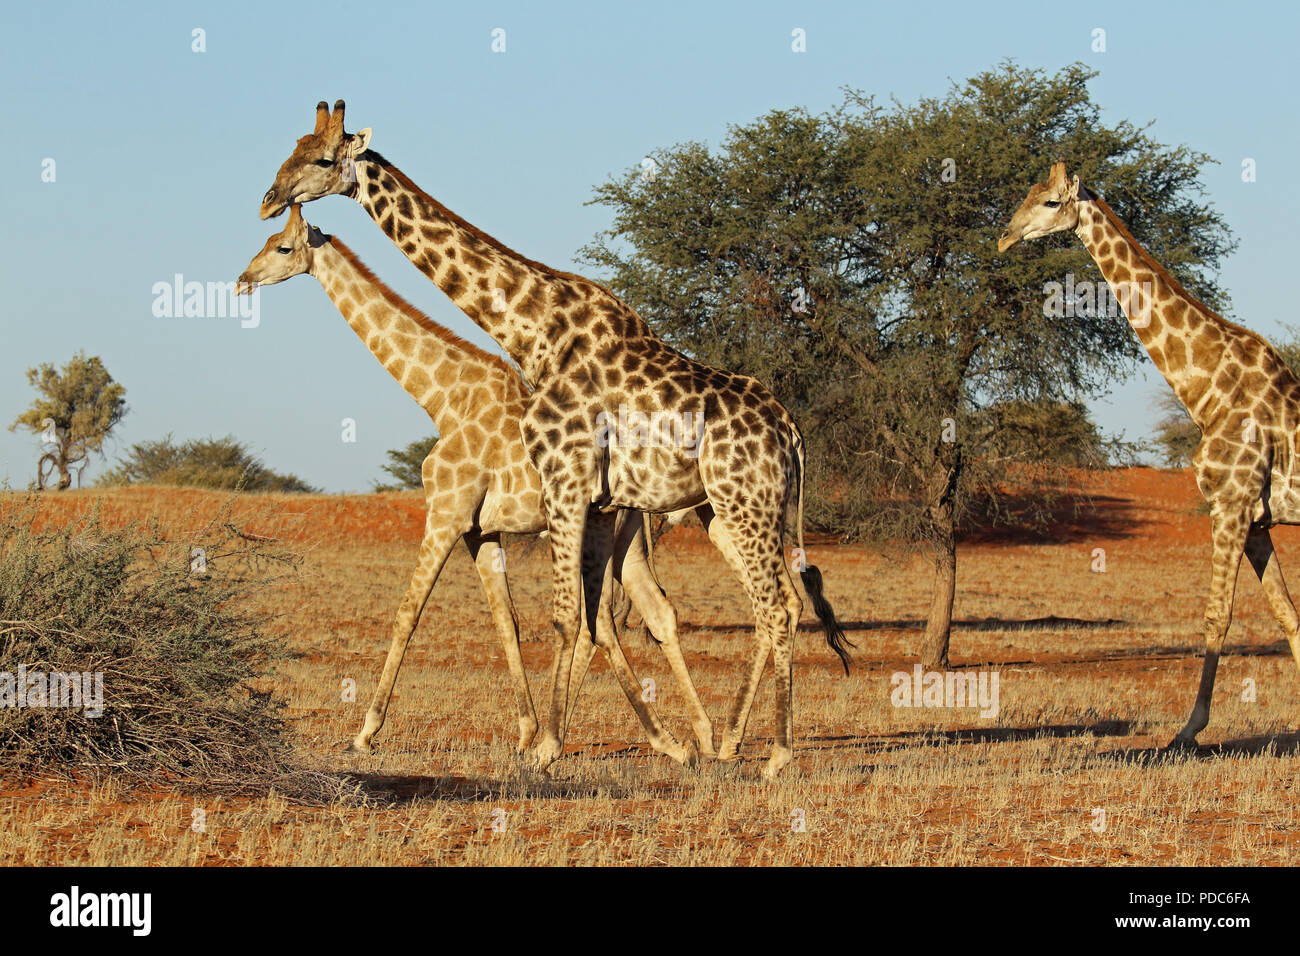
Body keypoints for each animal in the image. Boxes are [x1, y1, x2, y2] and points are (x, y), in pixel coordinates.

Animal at [237, 201, 717, 764]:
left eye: (283, 246)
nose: (243, 280)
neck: (442, 397)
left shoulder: (445, 514)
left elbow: (407, 614)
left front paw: (366, 731)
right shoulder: (480, 530)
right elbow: (506, 621)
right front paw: (527, 730)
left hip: (589, 529)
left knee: (601, 622)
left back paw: (655, 738)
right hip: (628, 535)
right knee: (647, 613)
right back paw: (692, 739)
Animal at [998, 162, 1300, 749]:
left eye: (1049, 202)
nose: (1003, 238)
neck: (1206, 389)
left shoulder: (1230, 506)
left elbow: (1217, 616)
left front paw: (1188, 730)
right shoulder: (1255, 518)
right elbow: (1286, 613)